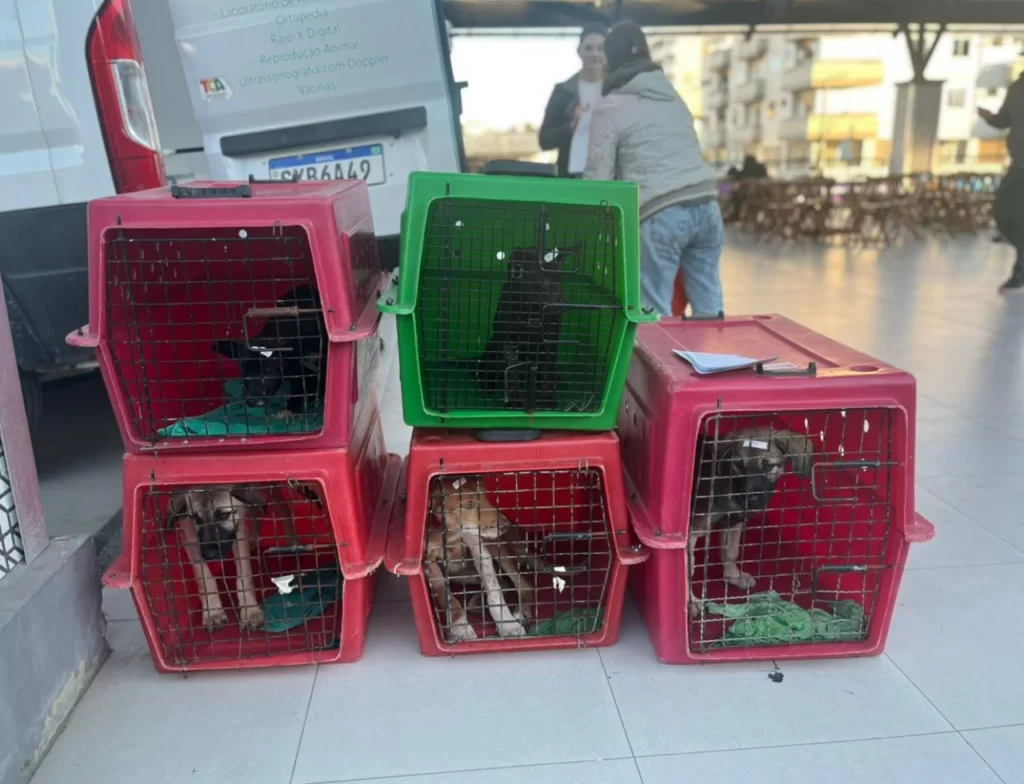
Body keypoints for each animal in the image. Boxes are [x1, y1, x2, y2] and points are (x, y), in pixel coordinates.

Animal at [166, 487, 268, 632]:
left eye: (223, 515)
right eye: (196, 518)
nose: (209, 555)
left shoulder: (239, 530)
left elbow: (244, 575)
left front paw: (250, 611)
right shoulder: (189, 534)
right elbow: (205, 578)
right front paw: (213, 612)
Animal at [424, 476, 536, 641]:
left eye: (486, 497)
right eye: (468, 505)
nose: (506, 526)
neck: (451, 531)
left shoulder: (477, 545)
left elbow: (493, 588)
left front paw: (508, 624)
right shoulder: (428, 558)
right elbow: (444, 593)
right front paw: (460, 626)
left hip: (497, 546)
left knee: (524, 585)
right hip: (460, 575)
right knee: (505, 582)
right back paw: (477, 602)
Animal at [688, 427, 814, 618]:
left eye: (769, 466)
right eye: (739, 465)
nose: (751, 500)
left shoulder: (733, 521)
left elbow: (731, 552)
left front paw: (733, 576)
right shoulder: (692, 532)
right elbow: (687, 569)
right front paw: (690, 602)